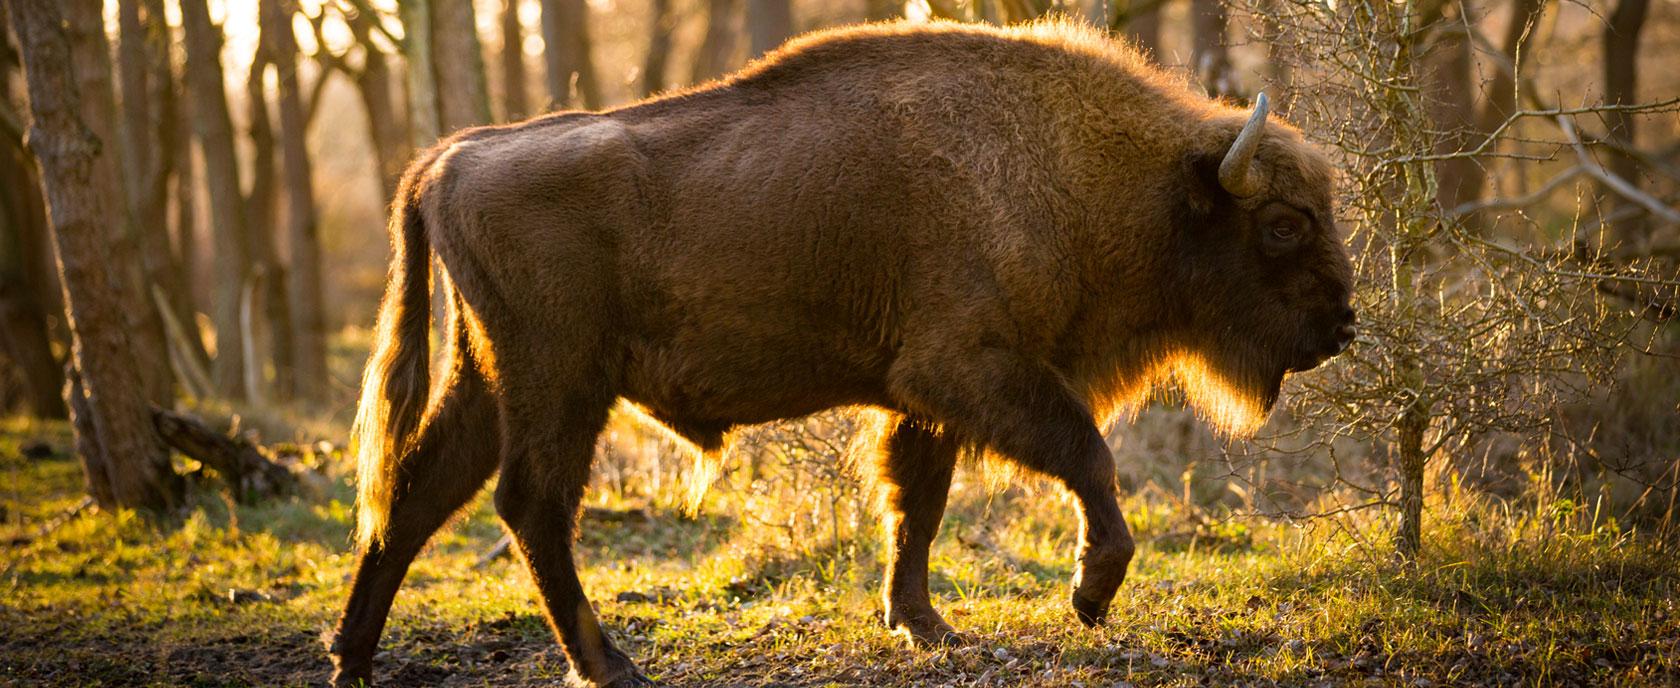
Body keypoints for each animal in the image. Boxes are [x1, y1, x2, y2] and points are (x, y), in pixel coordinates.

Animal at [327, 16, 1350, 688]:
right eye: (1283, 224)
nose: (1342, 328)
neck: (1083, 172)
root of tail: (449, 157)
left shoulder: (923, 401)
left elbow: (916, 507)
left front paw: (926, 629)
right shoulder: (972, 370)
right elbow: (1084, 459)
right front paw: (1090, 595)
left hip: (486, 379)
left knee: (415, 497)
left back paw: (352, 660)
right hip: (558, 382)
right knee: (531, 507)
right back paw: (609, 665)